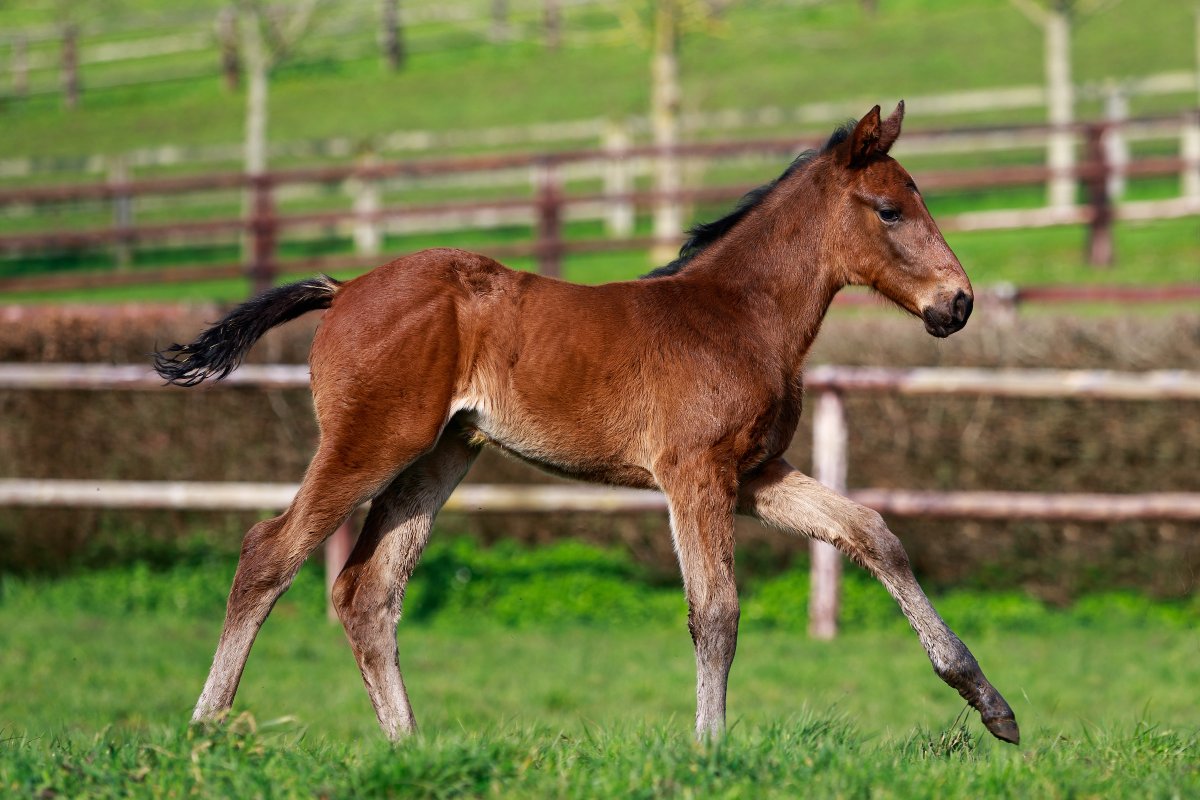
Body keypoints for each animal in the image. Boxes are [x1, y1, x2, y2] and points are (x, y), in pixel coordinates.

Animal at [155, 102, 1019, 745]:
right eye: (890, 210)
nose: (959, 303)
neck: (736, 315)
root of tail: (347, 287)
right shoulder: (694, 473)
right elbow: (716, 612)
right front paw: (711, 749)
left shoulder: (752, 474)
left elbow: (872, 532)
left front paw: (989, 702)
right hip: (371, 442)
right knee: (268, 554)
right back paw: (205, 730)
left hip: (438, 456)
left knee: (367, 593)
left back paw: (408, 748)